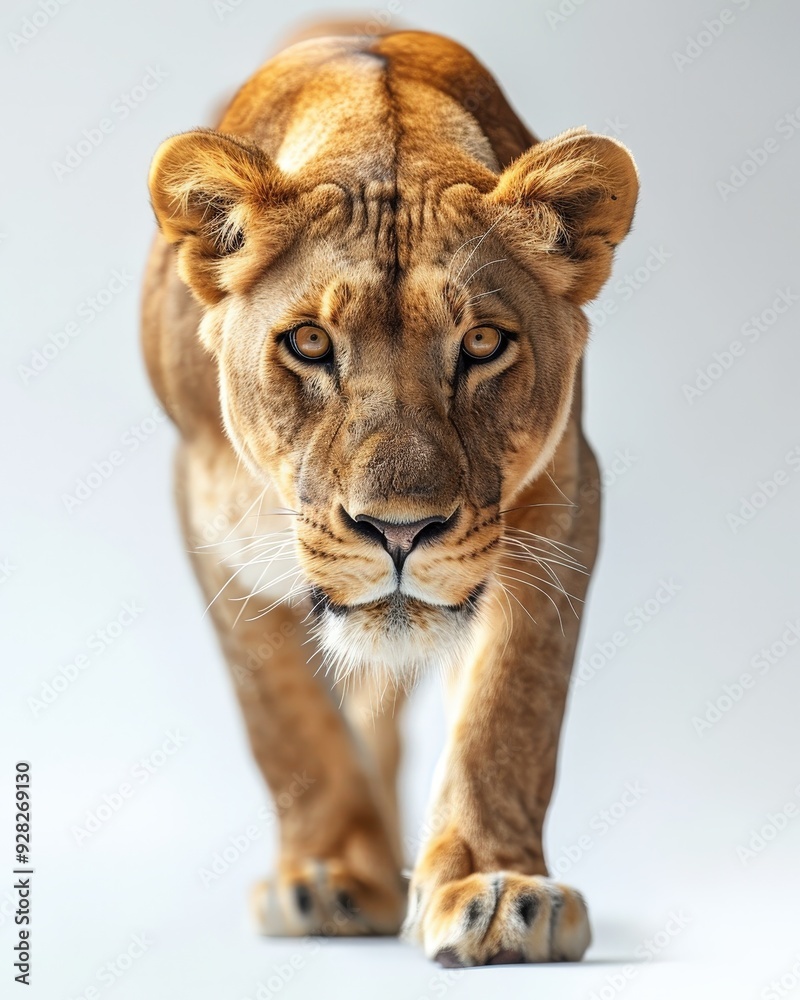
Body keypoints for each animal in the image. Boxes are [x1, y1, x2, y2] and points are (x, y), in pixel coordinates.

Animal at [142, 24, 638, 966]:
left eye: (482, 343)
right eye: (307, 343)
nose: (400, 532)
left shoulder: (564, 499)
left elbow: (508, 710)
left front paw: (495, 886)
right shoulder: (209, 519)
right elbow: (288, 724)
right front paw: (333, 876)